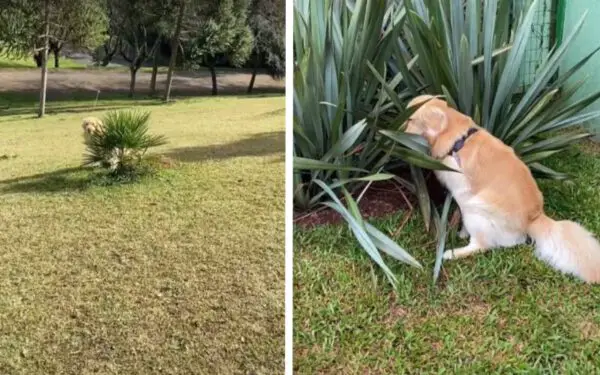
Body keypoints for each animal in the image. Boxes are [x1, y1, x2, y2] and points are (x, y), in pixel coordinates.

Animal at [406, 95, 600, 284]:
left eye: (410, 120)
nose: (399, 128)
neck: (458, 138)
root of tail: (534, 218)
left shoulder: (463, 192)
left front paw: (461, 232)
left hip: (477, 211)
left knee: (481, 246)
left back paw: (452, 253)